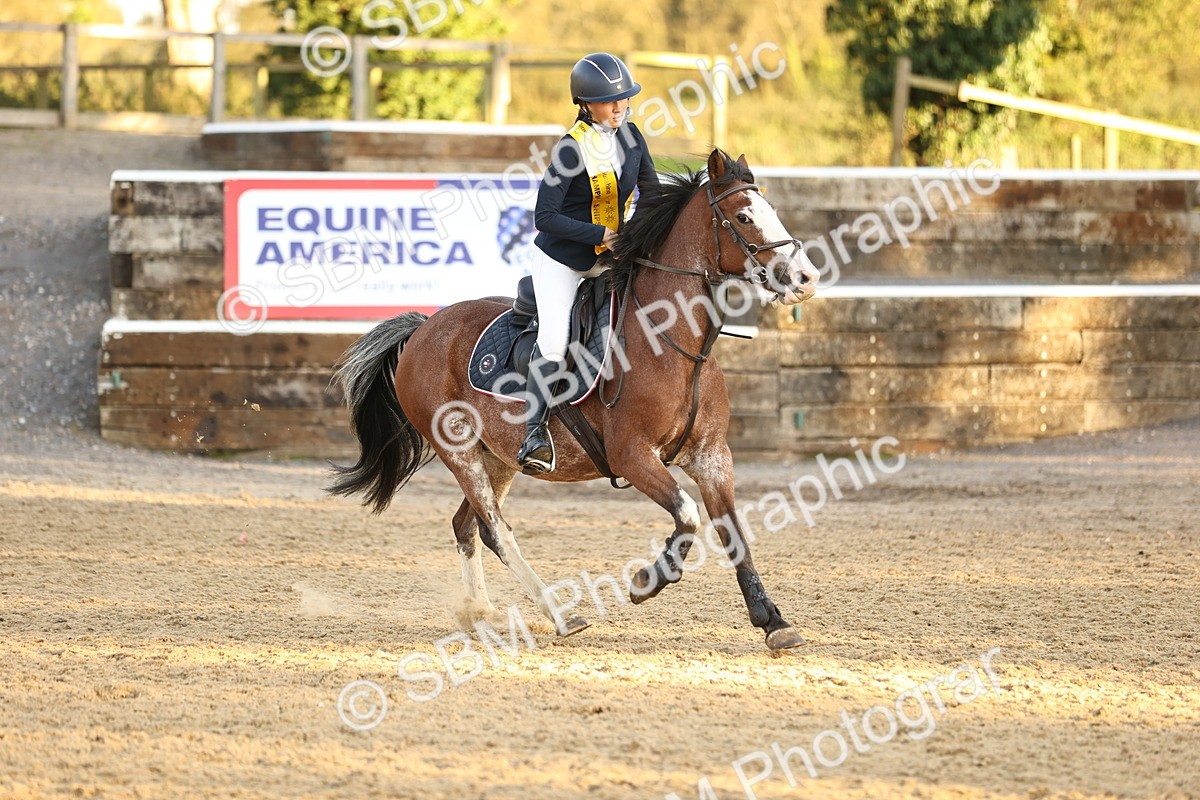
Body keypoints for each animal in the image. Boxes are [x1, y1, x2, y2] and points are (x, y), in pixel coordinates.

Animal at [328, 149, 819, 651]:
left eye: (771, 209)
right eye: (743, 216)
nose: (805, 278)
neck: (671, 337)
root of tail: (423, 327)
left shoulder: (712, 457)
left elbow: (733, 532)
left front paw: (773, 621)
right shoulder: (632, 455)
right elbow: (687, 514)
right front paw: (647, 581)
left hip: (498, 457)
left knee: (468, 525)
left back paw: (482, 616)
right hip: (460, 451)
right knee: (497, 530)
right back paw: (560, 615)